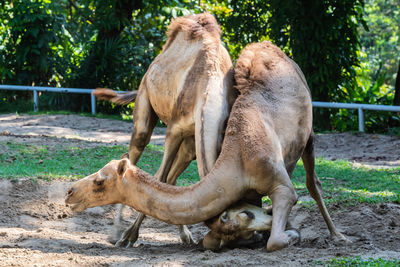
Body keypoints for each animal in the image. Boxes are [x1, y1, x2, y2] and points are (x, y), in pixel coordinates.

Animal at [67, 40, 348, 252]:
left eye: (99, 181)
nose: (70, 192)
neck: (238, 160)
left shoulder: (279, 184)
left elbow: (276, 236)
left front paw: (289, 233)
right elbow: (213, 238)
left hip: (308, 135)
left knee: (313, 183)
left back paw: (338, 236)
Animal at [92, 12, 236, 247]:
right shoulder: (175, 129)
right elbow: (158, 178)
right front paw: (129, 236)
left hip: (190, 145)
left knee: (171, 179)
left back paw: (185, 236)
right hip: (144, 103)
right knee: (132, 155)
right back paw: (116, 234)